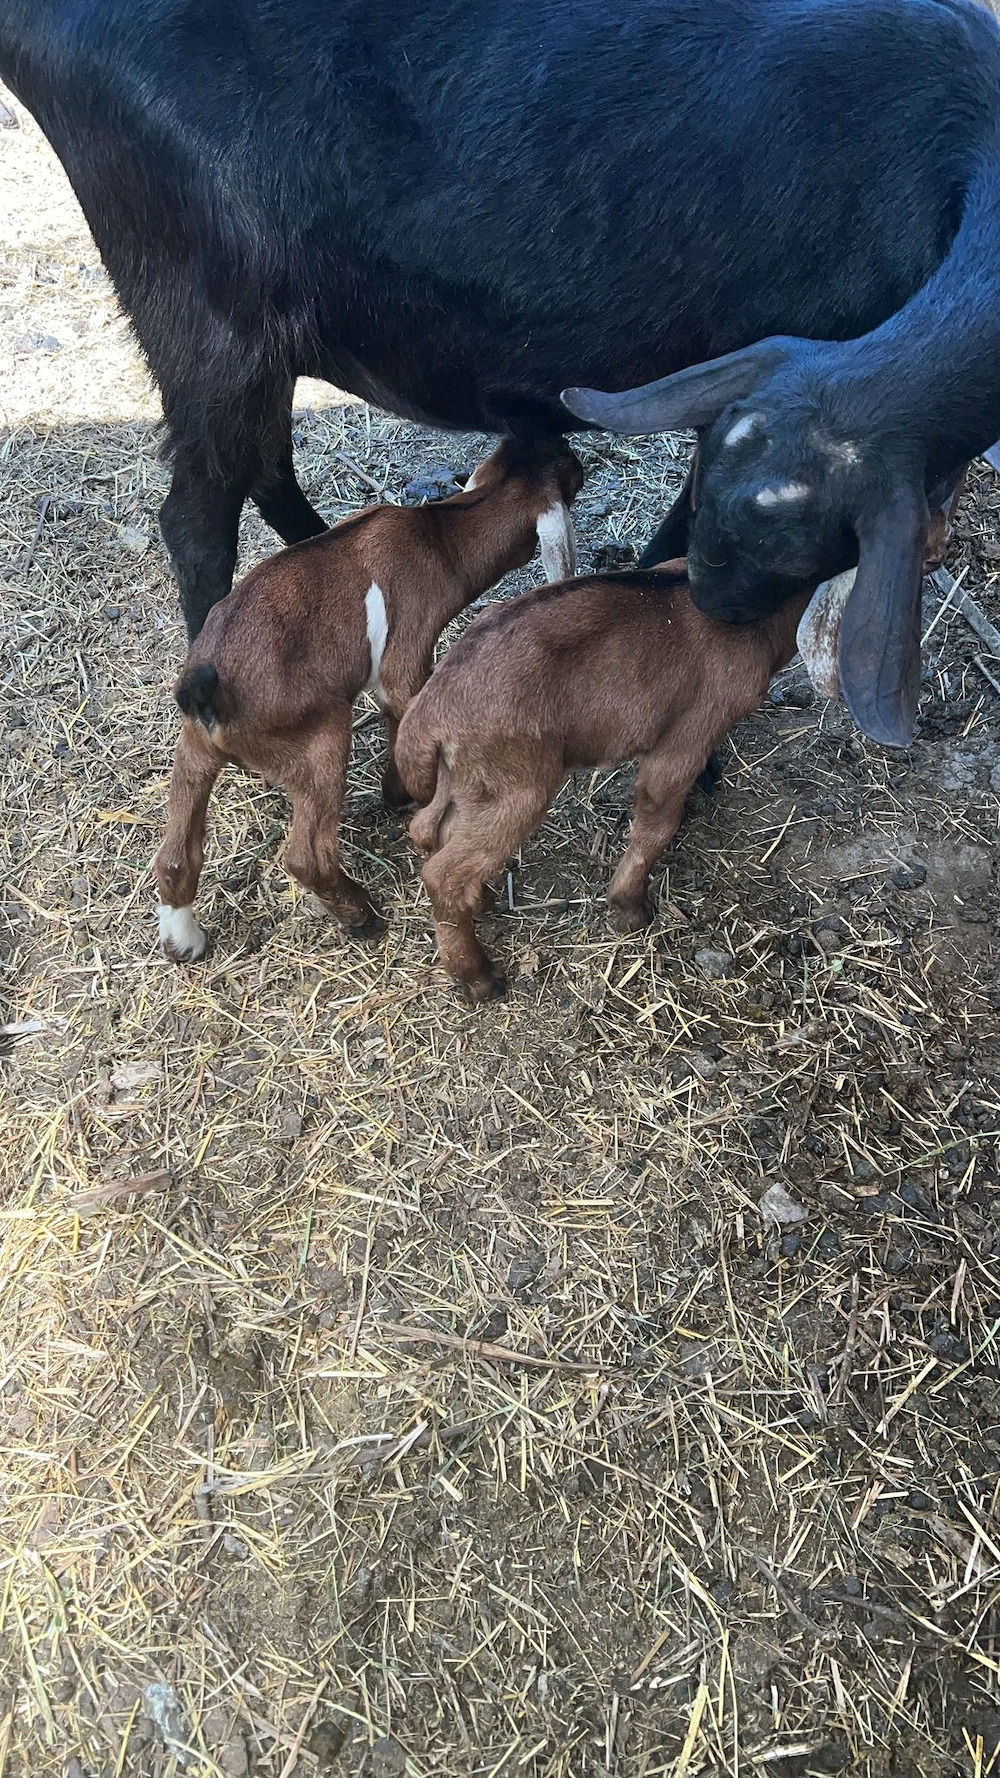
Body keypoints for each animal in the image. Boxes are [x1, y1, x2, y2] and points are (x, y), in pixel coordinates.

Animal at [153, 438, 582, 962]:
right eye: (571, 472)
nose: (579, 455)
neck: (438, 535)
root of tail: (209, 692)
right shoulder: (408, 651)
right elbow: (405, 706)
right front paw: (408, 796)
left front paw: (396, 795)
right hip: (317, 738)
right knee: (307, 856)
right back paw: (363, 916)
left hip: (194, 750)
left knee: (175, 856)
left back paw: (185, 941)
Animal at [395, 565, 809, 1000]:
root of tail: (429, 709)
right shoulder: (688, 734)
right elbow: (657, 823)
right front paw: (630, 908)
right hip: (517, 789)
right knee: (443, 874)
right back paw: (477, 977)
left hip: (466, 778)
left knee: (428, 829)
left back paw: (481, 902)